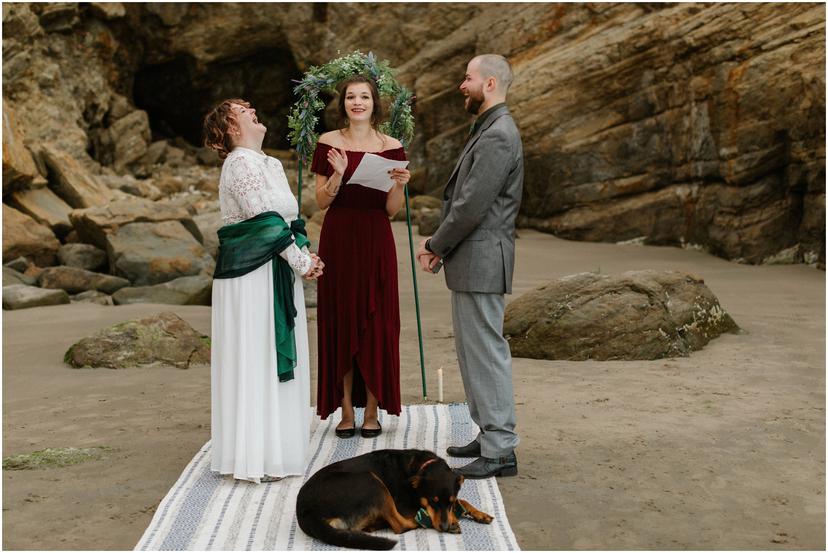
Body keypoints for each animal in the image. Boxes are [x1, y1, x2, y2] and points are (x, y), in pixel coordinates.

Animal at [296, 448, 492, 548]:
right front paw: (454, 521)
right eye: (432, 501)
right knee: (400, 526)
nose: (444, 527)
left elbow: (462, 500)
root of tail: (306, 512)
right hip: (371, 481)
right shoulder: (405, 505)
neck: (421, 466)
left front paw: (480, 514)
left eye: (449, 503)